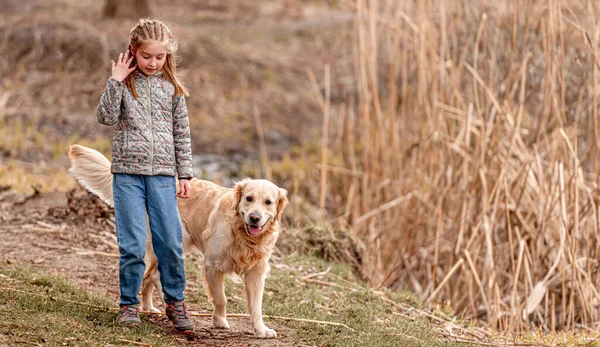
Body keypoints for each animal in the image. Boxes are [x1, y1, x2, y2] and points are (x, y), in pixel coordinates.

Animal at [68, 144, 288, 338]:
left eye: (268, 202)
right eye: (249, 199)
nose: (254, 218)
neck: (241, 233)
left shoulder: (256, 272)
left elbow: (256, 307)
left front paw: (261, 330)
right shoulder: (213, 266)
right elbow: (221, 298)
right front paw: (219, 321)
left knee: (149, 276)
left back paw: (149, 307)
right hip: (175, 239)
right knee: (153, 274)